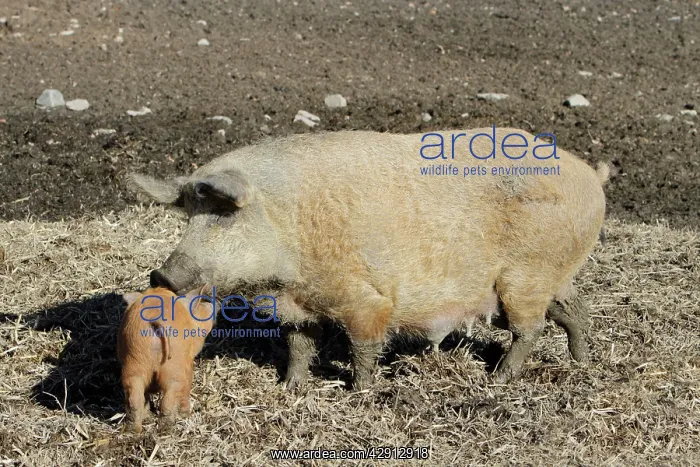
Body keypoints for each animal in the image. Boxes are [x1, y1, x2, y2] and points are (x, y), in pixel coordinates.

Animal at [117, 286, 215, 433]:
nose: (211, 304)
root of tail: (153, 321)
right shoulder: (188, 362)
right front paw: (185, 414)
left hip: (134, 363)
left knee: (134, 398)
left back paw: (134, 429)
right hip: (173, 367)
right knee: (169, 397)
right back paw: (166, 429)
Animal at [127, 128, 609, 389]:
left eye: (224, 214)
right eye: (189, 216)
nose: (163, 274)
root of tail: (590, 176)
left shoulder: (364, 300)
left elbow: (364, 345)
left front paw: (360, 391)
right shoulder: (297, 307)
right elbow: (299, 345)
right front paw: (289, 387)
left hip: (524, 277)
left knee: (531, 328)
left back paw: (499, 379)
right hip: (553, 275)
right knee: (575, 311)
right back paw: (582, 362)